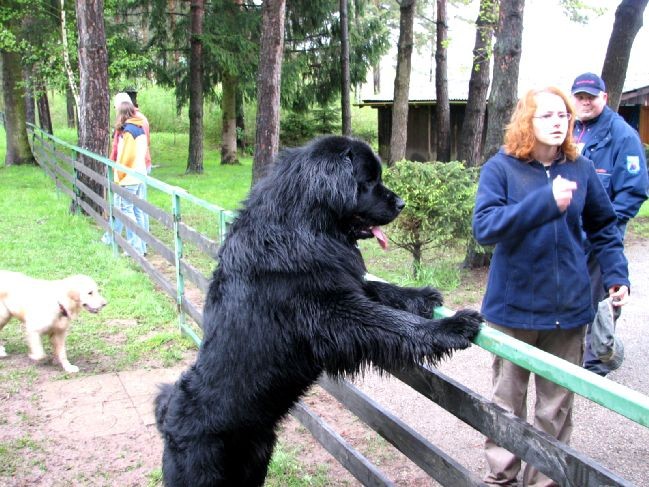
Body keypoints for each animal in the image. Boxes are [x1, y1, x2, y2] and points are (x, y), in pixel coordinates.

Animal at [156, 135, 480, 486]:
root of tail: (168, 416)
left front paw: (421, 295)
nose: (402, 203)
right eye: (368, 181)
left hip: (256, 457)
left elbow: (381, 292)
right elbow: (390, 321)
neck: (303, 227)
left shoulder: (342, 281)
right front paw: (453, 327)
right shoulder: (330, 312)